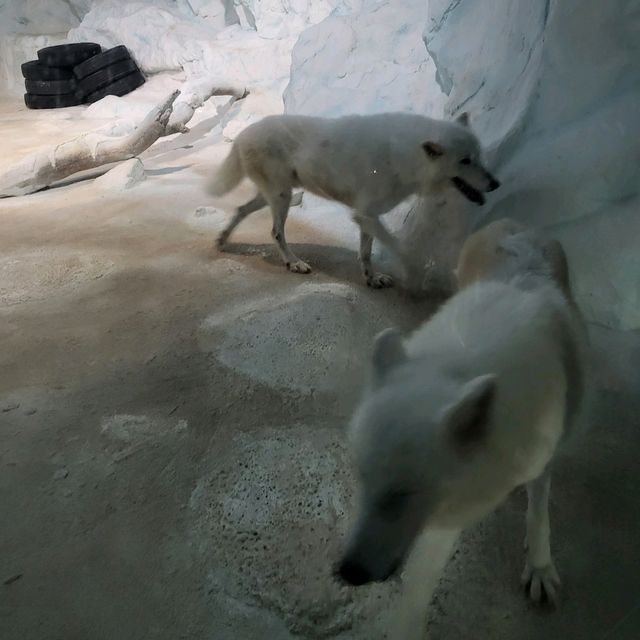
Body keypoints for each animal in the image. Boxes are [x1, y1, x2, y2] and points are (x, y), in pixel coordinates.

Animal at [208, 112, 498, 288]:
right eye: (465, 161)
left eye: (479, 155)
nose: (496, 184)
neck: (404, 156)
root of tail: (244, 134)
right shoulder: (366, 215)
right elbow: (400, 247)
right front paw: (416, 274)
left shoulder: (367, 217)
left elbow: (366, 253)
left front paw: (372, 279)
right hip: (281, 197)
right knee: (275, 232)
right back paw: (294, 262)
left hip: (277, 196)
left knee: (241, 210)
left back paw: (222, 239)